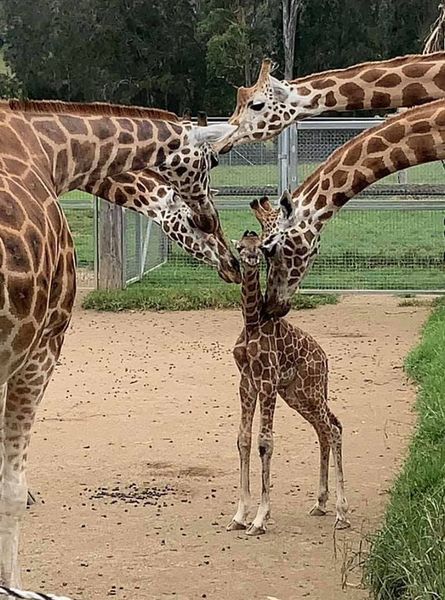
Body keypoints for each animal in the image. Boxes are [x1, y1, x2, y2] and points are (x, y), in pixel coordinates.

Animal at [227, 230, 348, 536]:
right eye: (240, 247)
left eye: (261, 248)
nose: (251, 259)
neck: (251, 323)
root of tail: (324, 358)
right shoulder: (246, 383)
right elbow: (243, 440)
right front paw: (239, 516)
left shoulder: (267, 381)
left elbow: (265, 443)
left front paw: (259, 520)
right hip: (297, 394)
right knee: (324, 429)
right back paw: (320, 503)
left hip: (310, 390)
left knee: (333, 429)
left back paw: (342, 514)